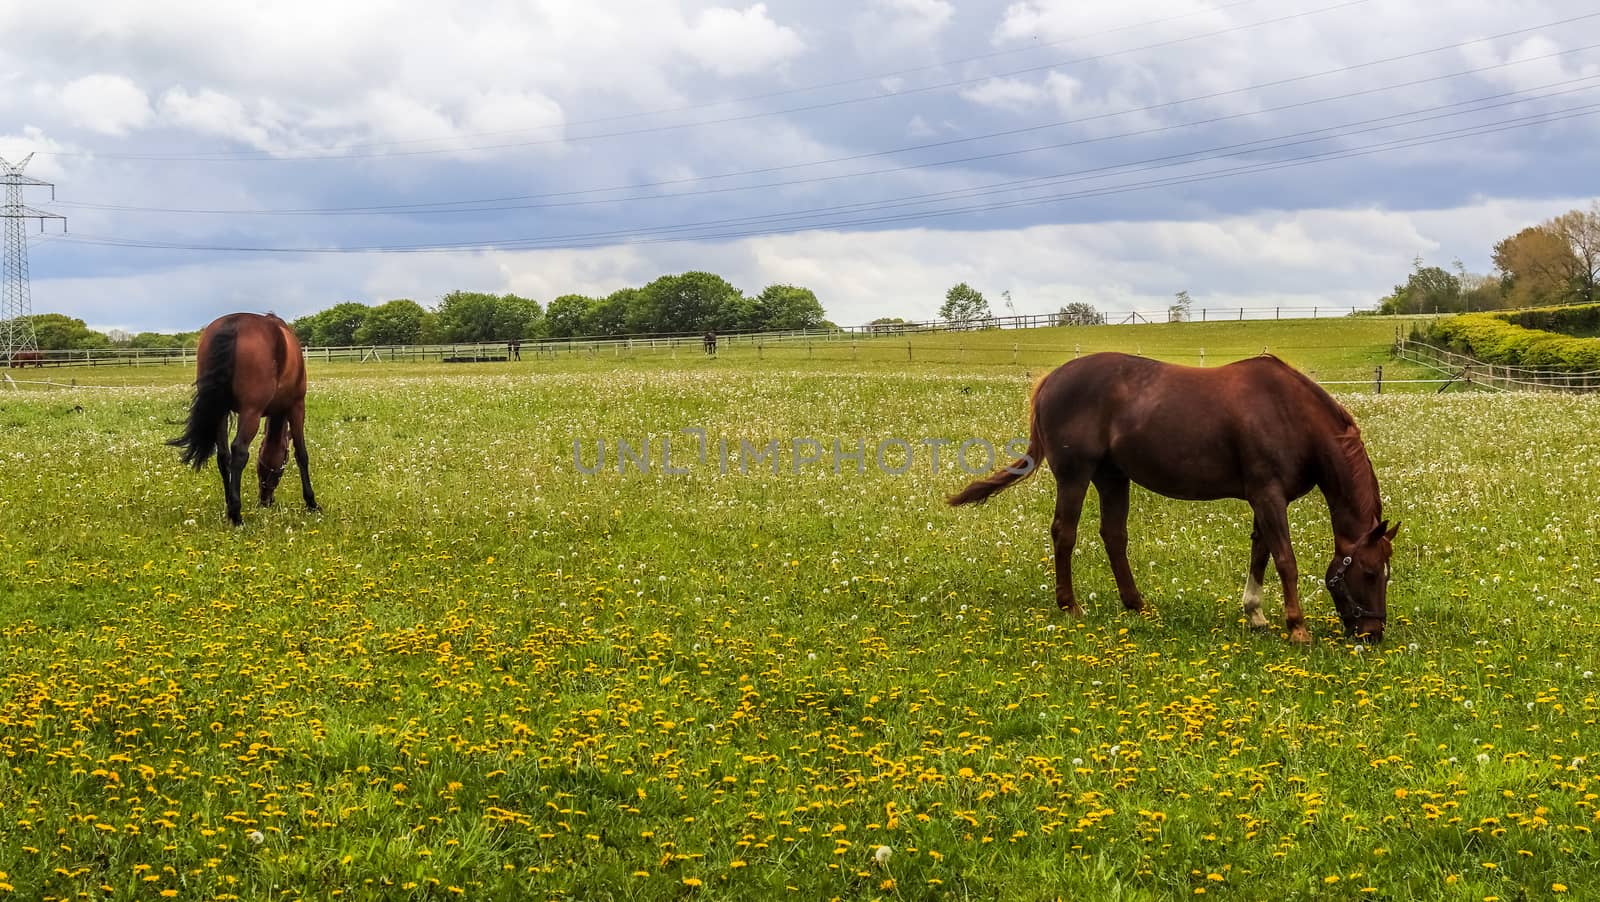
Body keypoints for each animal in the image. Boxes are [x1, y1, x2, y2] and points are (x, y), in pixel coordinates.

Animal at [168, 313, 318, 524]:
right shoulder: (297, 406)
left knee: (223, 455)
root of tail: (233, 323)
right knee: (239, 451)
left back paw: (229, 505)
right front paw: (311, 502)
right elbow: (302, 455)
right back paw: (236, 515)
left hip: (220, 410)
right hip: (251, 412)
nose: (265, 500)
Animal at [953, 350, 1395, 639]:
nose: (1372, 633)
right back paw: (1070, 606)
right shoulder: (1268, 496)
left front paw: (1256, 614)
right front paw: (1297, 627)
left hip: (1113, 477)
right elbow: (1285, 560)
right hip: (1075, 476)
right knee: (1065, 533)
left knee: (1114, 536)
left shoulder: (1264, 498)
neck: (1290, 414)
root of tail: (1052, 380)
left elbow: (1261, 553)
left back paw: (1135, 603)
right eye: (1371, 573)